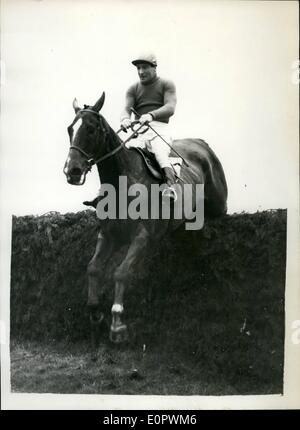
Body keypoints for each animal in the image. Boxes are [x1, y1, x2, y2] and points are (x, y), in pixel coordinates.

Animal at [63, 92, 227, 348]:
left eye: (90, 129)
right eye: (70, 129)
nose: (72, 171)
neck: (122, 182)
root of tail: (201, 144)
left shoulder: (143, 235)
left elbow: (121, 272)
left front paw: (117, 324)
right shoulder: (108, 234)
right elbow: (93, 268)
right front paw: (95, 311)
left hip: (220, 203)